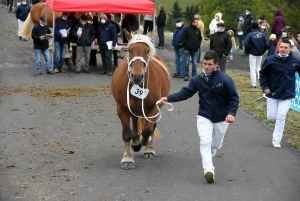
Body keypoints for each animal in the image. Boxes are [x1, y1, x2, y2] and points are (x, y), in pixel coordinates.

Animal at [110, 29, 171, 170]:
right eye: (129, 50)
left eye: (147, 51)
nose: (137, 76)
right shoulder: (122, 108)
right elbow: (127, 133)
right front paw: (127, 158)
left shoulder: (154, 107)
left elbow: (148, 130)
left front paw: (145, 143)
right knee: (134, 121)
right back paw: (135, 141)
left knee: (151, 127)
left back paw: (148, 148)